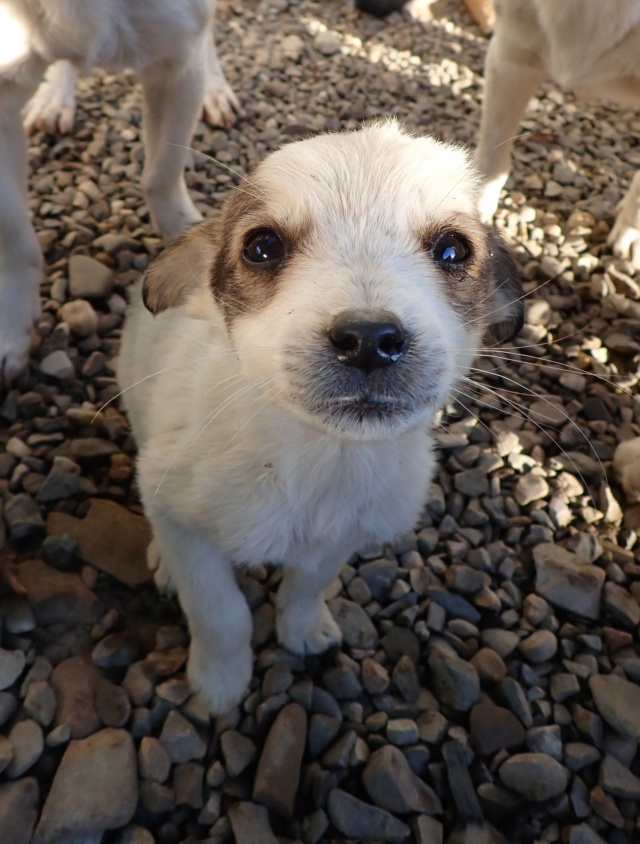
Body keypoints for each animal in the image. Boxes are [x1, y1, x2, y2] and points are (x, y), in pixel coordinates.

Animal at [0, 0, 238, 382]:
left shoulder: (178, 66)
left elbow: (162, 173)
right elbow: (16, 238)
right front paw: (11, 329)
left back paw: (216, 90)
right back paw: (54, 97)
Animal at [117, 122, 524, 716]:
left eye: (453, 249)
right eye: (261, 246)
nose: (370, 341)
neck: (318, 460)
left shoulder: (339, 535)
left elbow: (307, 585)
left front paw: (303, 631)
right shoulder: (173, 503)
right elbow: (219, 610)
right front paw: (220, 682)